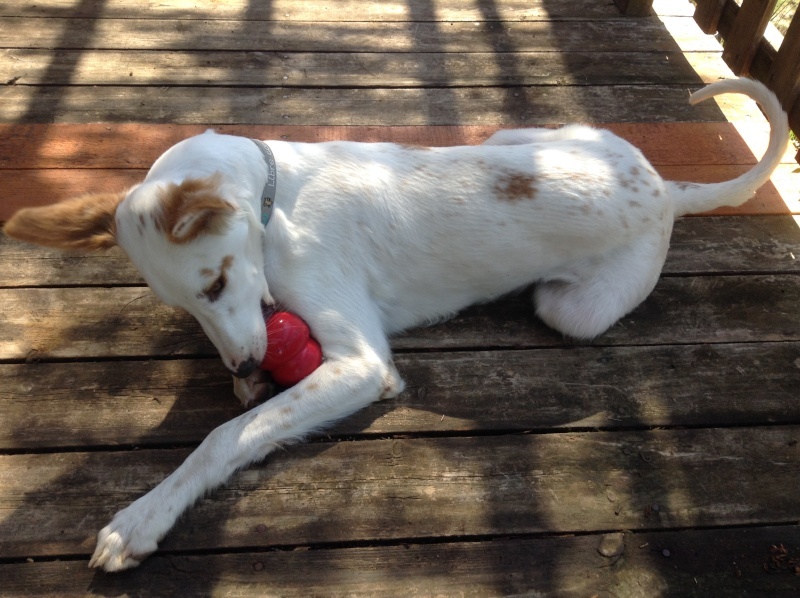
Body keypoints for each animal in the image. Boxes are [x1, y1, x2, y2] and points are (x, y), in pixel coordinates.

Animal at [1, 77, 788, 576]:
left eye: (216, 282)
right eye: (189, 306)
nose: (242, 367)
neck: (276, 198)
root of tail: (665, 187)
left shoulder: (361, 364)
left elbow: (226, 438)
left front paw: (142, 517)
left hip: (576, 310)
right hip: (515, 134)